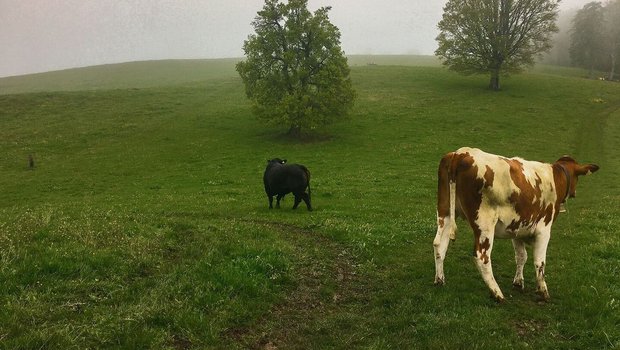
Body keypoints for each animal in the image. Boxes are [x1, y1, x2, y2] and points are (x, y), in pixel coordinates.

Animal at [434, 146, 600, 302]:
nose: (574, 193)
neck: (555, 177)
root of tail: (461, 153)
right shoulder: (544, 229)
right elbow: (540, 262)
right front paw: (543, 291)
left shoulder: (517, 227)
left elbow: (521, 256)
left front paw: (518, 282)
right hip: (484, 223)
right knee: (482, 257)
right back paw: (498, 294)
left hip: (445, 212)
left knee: (439, 244)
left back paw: (440, 280)